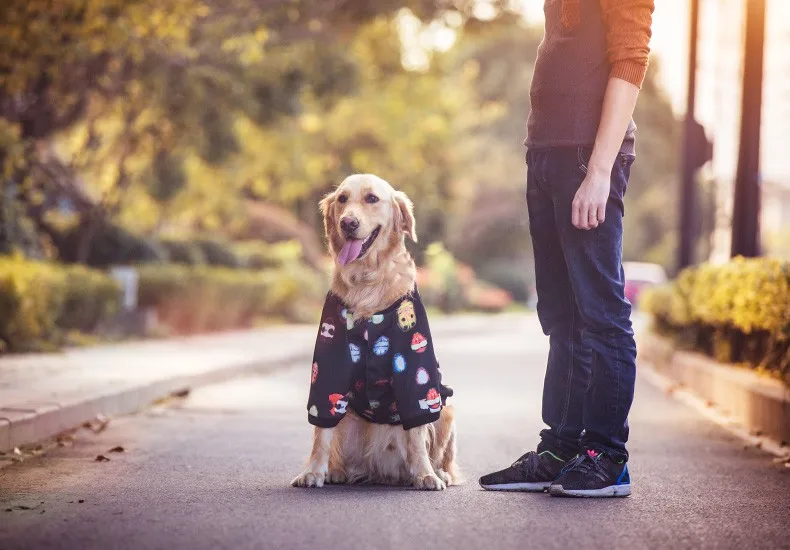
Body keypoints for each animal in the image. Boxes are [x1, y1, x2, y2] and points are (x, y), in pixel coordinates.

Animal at [294, 176, 460, 492]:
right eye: (342, 199)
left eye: (372, 199)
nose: (347, 223)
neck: (367, 281)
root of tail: (383, 472)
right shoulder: (328, 366)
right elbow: (321, 432)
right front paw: (314, 471)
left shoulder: (415, 371)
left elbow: (417, 433)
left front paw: (425, 474)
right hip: (349, 418)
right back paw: (337, 471)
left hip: (445, 407)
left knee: (442, 455)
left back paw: (438, 472)